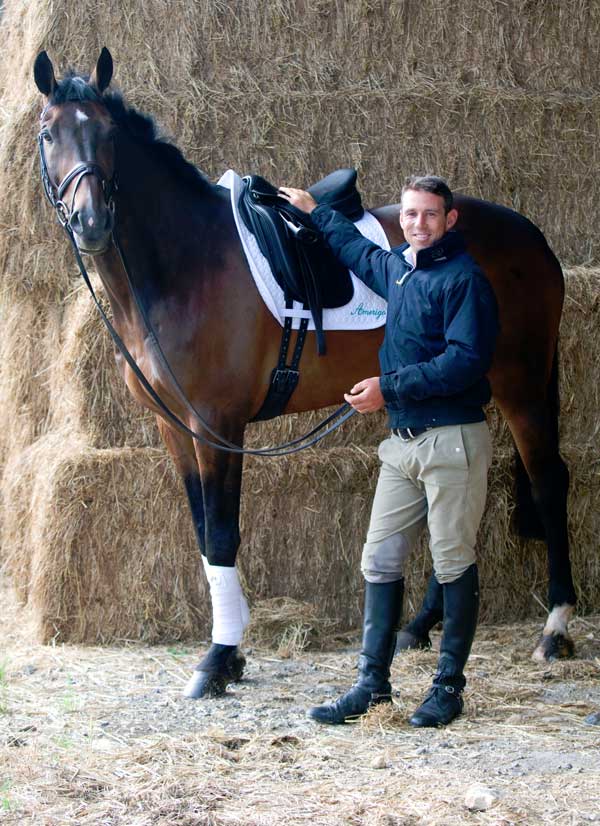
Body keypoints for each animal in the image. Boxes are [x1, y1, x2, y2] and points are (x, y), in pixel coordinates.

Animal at [32, 48, 576, 696]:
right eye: (48, 133)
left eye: (108, 134)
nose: (90, 222)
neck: (185, 265)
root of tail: (533, 236)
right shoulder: (176, 428)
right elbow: (202, 534)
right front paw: (231, 653)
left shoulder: (218, 426)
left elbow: (222, 534)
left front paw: (218, 659)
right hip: (467, 385)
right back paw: (421, 625)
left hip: (522, 386)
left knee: (548, 483)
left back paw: (555, 628)